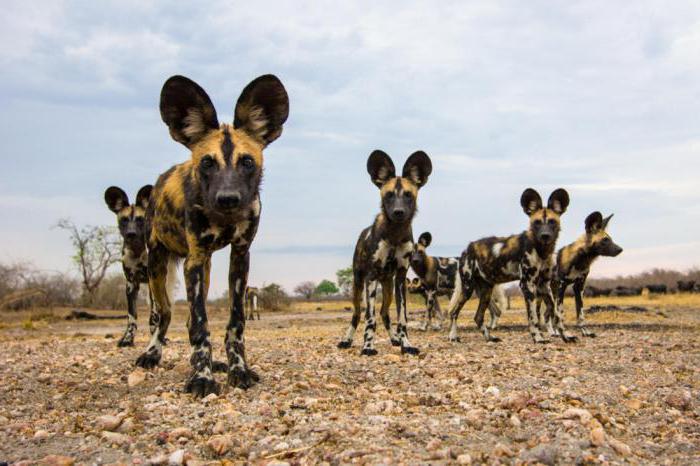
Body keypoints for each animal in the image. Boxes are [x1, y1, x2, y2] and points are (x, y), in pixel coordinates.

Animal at [104, 184, 154, 348]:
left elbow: (154, 316)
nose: (131, 234)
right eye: (124, 220)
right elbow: (132, 317)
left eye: (140, 220)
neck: (138, 251)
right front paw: (127, 339)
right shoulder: (131, 284)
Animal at [134, 73, 290, 396]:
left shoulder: (240, 257)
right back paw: (152, 354)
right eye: (207, 163)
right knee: (164, 315)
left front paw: (237, 369)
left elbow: (235, 323)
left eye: (247, 162)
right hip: (158, 266)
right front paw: (201, 377)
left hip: (202, 271)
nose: (228, 198)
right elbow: (199, 324)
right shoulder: (193, 259)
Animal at [334, 151, 430, 354]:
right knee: (357, 314)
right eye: (389, 195)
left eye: (408, 195)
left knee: (384, 312)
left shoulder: (400, 279)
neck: (394, 233)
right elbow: (369, 318)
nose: (398, 212)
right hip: (357, 285)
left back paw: (394, 339)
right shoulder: (371, 277)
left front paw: (406, 344)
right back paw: (346, 340)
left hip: (388, 287)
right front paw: (368, 347)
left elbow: (402, 319)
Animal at [446, 187, 576, 344]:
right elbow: (533, 317)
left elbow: (556, 314)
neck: (542, 250)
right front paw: (538, 338)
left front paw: (565, 336)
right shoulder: (527, 284)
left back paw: (490, 337)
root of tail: (466, 249)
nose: (545, 235)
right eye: (537, 222)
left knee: (478, 317)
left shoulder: (544, 285)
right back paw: (453, 336)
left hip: (486, 291)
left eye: (552, 222)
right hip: (467, 289)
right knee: (454, 312)